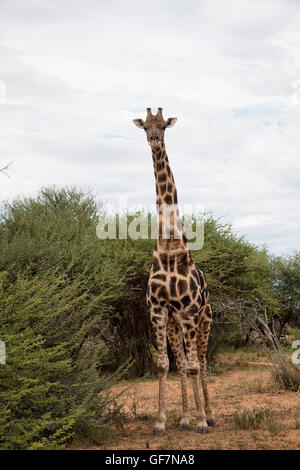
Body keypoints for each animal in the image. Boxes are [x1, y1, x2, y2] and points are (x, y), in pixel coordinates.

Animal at [132, 108, 214, 436]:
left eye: (164, 126)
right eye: (145, 127)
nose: (154, 140)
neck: (168, 248)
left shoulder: (189, 313)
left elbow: (193, 366)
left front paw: (202, 421)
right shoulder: (157, 310)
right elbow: (164, 364)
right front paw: (161, 422)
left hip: (203, 321)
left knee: (200, 361)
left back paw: (209, 416)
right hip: (176, 324)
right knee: (182, 361)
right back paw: (185, 418)